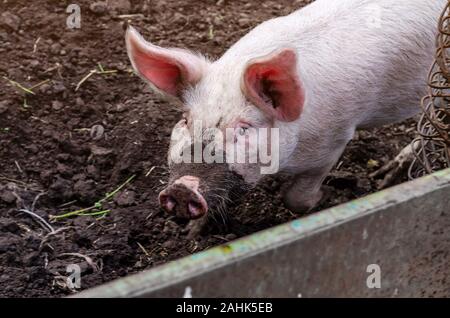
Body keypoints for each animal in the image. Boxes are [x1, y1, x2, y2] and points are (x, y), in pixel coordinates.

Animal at [125, 0, 444, 229]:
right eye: (186, 120)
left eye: (244, 128)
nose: (182, 188)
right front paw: (195, 231)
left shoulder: (333, 141)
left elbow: (295, 198)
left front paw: (326, 198)